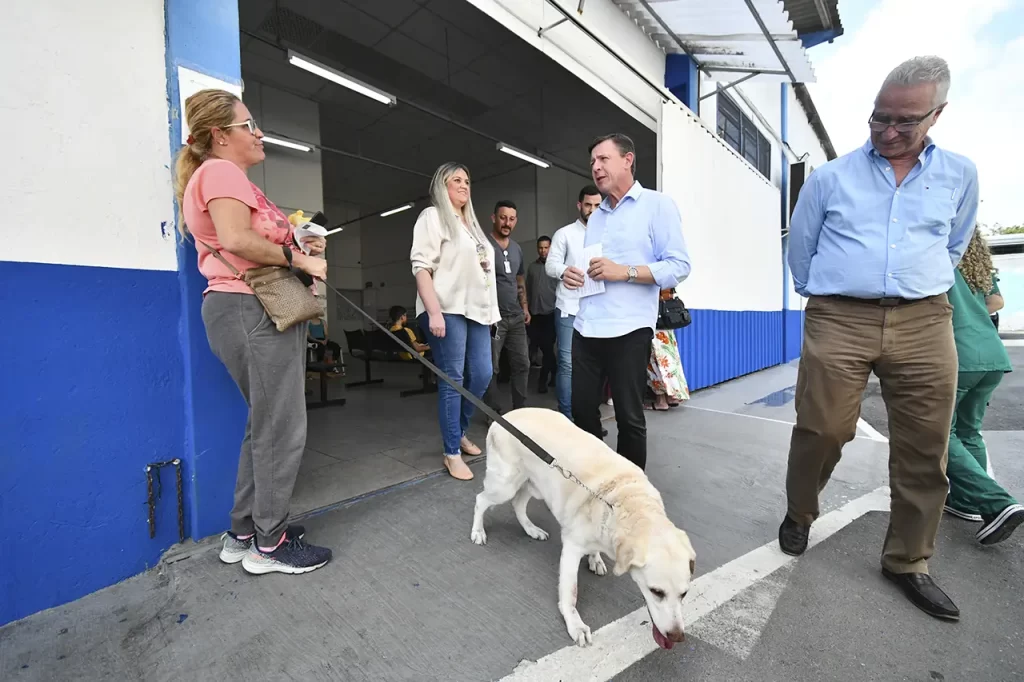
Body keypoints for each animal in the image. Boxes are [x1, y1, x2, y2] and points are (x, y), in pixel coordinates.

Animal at [468, 405, 696, 647]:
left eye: (684, 594)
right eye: (657, 592)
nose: (677, 636)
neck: (625, 505)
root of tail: (504, 416)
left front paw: (595, 558)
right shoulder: (571, 549)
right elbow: (570, 592)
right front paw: (575, 625)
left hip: (535, 486)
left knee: (518, 503)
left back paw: (532, 530)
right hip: (505, 485)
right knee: (481, 500)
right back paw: (478, 532)